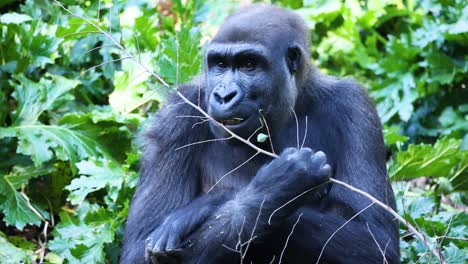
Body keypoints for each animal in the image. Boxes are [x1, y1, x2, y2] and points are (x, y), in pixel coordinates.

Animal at [119, 4, 398, 264]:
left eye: (249, 65)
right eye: (220, 64)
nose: (224, 95)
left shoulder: (355, 105)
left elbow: (376, 240)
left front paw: (205, 205)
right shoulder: (176, 114)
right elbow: (138, 251)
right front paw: (277, 188)